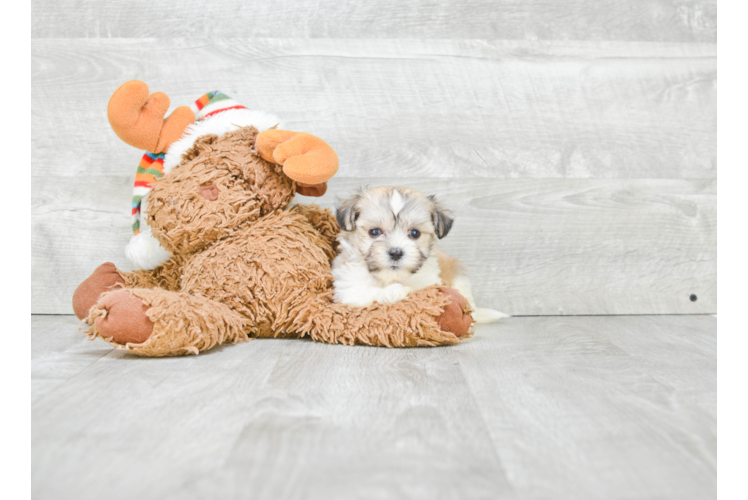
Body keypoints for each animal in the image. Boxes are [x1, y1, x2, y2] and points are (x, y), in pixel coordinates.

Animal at [334, 186, 508, 322]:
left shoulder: (429, 282)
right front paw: (395, 291)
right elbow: (365, 293)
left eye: (414, 233)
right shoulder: (347, 291)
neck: (391, 278)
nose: (396, 253)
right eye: (374, 232)